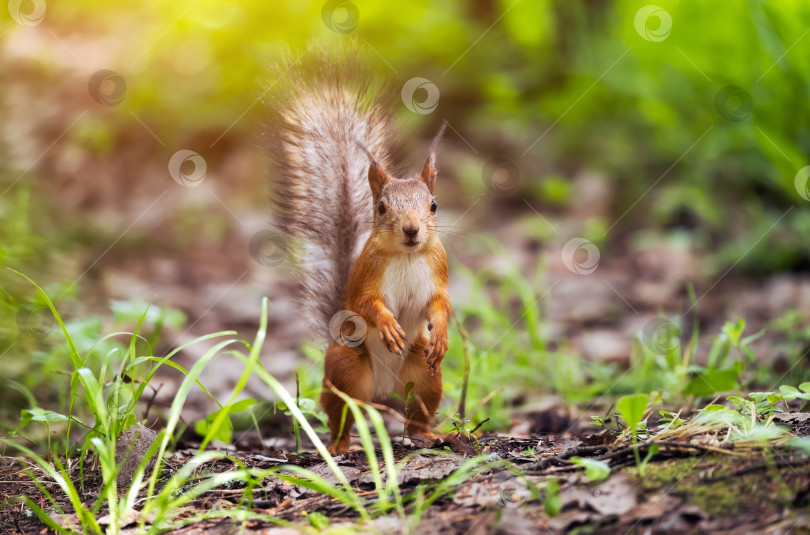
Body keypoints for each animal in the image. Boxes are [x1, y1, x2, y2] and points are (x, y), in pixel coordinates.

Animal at [266, 52, 452, 454]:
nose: (411, 230)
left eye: (433, 205)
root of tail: (382, 391)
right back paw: (340, 446)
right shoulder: (369, 274)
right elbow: (367, 303)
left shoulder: (438, 271)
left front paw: (442, 334)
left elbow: (441, 304)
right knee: (342, 414)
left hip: (425, 377)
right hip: (347, 369)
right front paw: (388, 326)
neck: (407, 256)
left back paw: (434, 435)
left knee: (417, 415)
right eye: (381, 208)